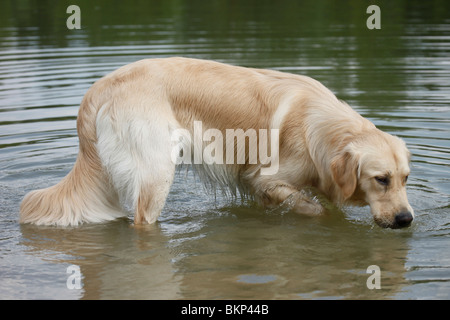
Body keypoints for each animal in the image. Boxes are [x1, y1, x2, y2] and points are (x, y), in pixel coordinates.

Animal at [21, 57, 414, 228]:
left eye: (406, 178)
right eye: (381, 179)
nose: (407, 219)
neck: (320, 127)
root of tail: (99, 87)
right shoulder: (264, 178)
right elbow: (312, 207)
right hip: (156, 173)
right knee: (142, 221)